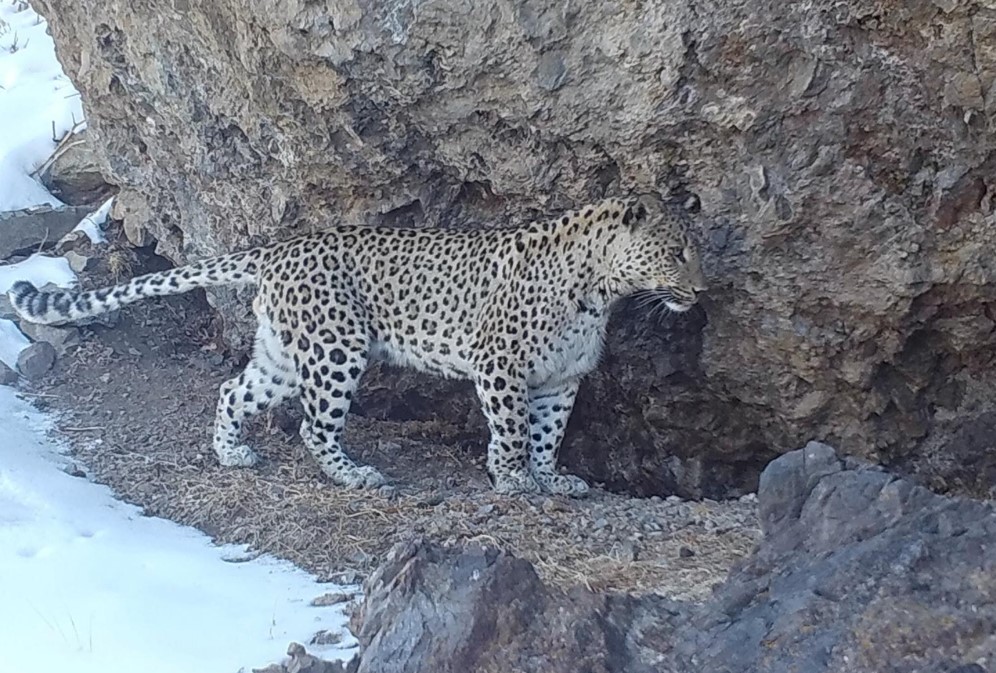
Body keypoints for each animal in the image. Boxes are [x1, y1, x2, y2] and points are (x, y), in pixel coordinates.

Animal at [7, 197, 708, 496]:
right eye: (676, 251)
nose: (702, 290)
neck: (602, 287)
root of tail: (280, 248)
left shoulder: (560, 379)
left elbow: (547, 434)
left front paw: (551, 477)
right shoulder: (500, 366)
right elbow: (511, 431)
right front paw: (511, 481)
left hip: (285, 355)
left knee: (233, 389)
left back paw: (232, 454)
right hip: (336, 350)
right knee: (313, 427)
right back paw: (353, 474)